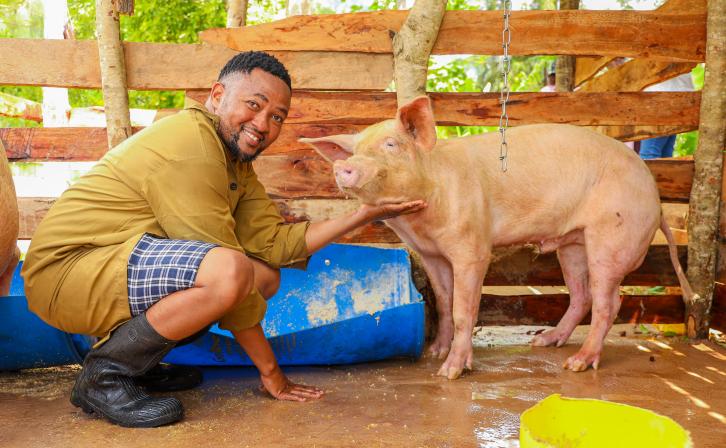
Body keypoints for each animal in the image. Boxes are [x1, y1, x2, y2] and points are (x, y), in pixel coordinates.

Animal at [302, 96, 696, 379]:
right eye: (355, 151)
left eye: (391, 145)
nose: (343, 166)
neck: (422, 219)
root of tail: (656, 197)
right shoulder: (431, 254)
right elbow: (443, 302)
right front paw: (435, 353)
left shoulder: (472, 246)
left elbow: (463, 309)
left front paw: (450, 372)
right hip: (573, 243)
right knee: (581, 295)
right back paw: (543, 342)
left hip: (612, 237)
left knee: (608, 303)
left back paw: (577, 364)